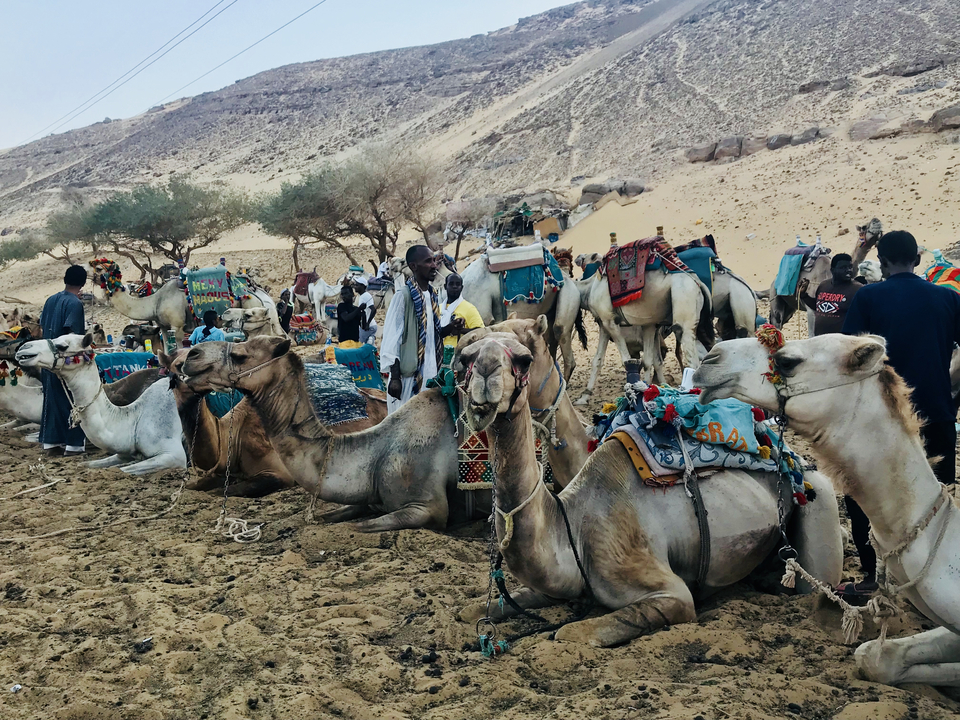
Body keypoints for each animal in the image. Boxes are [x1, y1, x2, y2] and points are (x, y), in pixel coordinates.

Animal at [16, 334, 186, 474]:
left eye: (63, 346)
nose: (24, 348)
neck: (134, 420)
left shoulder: (173, 455)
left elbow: (123, 470)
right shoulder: (122, 453)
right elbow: (86, 465)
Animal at [181, 320, 590, 530]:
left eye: (240, 353)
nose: (190, 356)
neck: (374, 451)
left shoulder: (426, 507)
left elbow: (360, 526)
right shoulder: (365, 496)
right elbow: (332, 517)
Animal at [456, 322, 842, 647]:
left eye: (525, 358)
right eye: (466, 358)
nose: (486, 371)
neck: (571, 527)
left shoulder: (666, 590)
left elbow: (568, 632)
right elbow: (469, 611)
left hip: (819, 501)